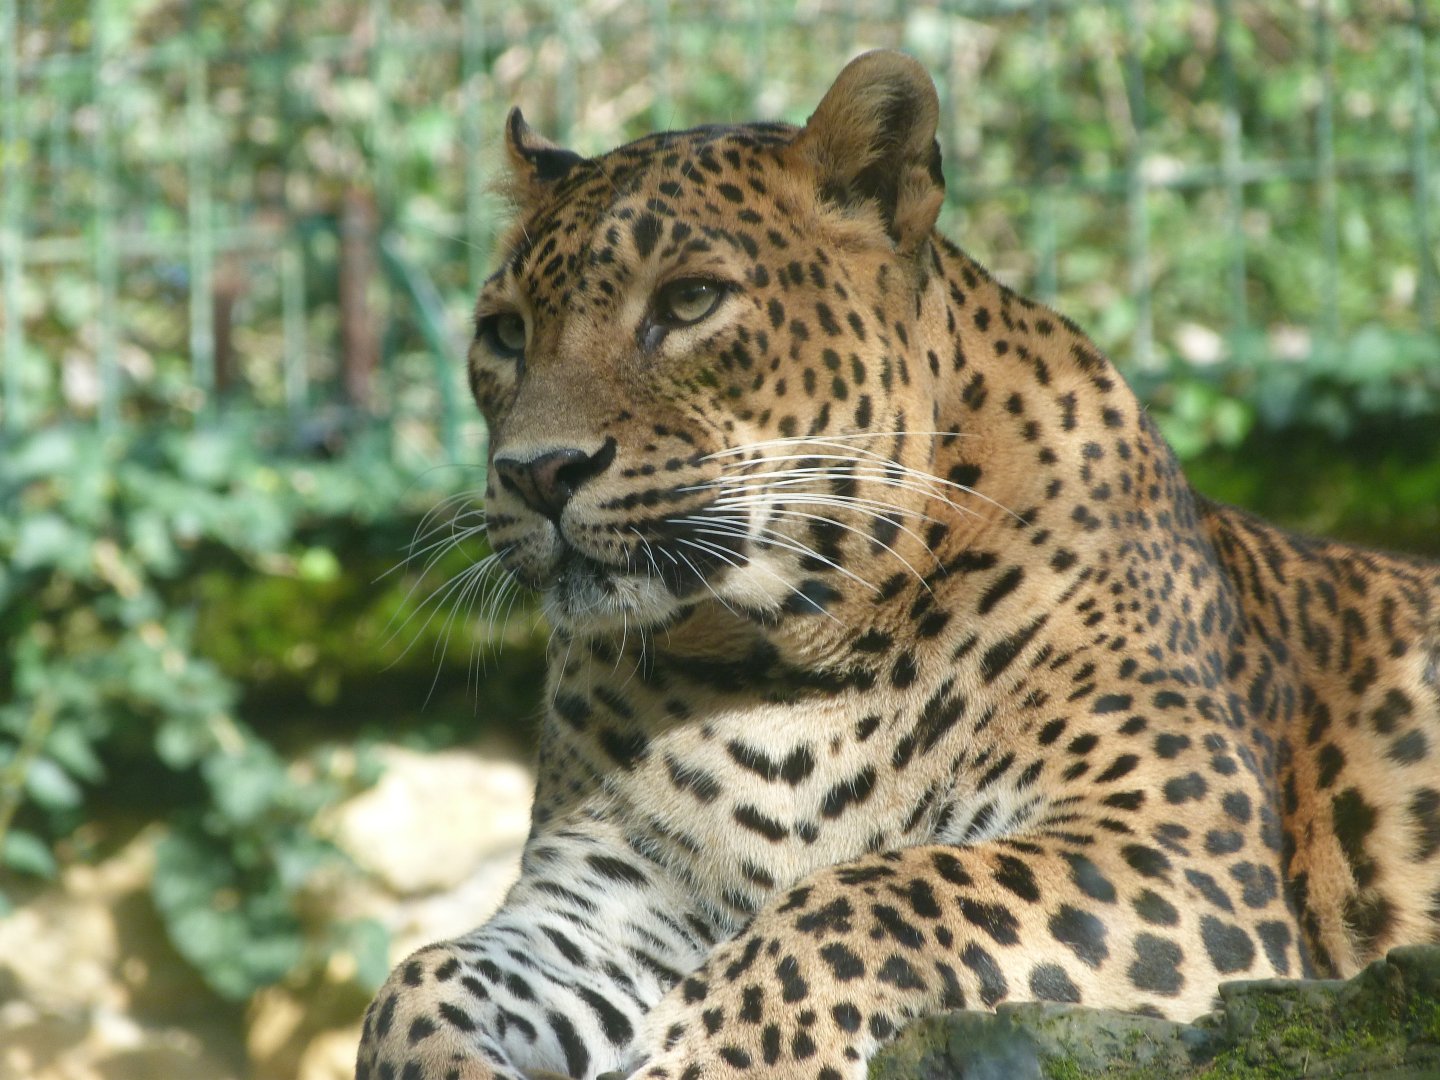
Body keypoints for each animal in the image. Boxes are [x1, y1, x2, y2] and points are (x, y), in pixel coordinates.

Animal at [356, 50, 1440, 1080]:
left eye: (691, 301)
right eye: (505, 333)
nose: (537, 472)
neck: (775, 654)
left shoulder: (1180, 847)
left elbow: (878, 889)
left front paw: (730, 1059)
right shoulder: (603, 904)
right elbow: (414, 980)